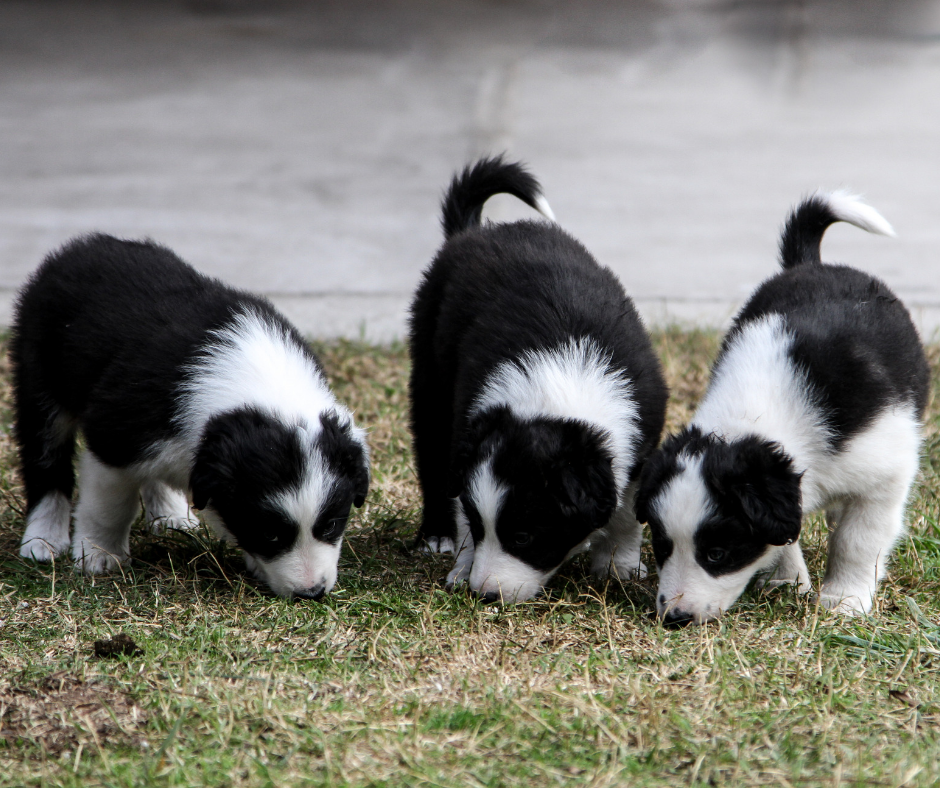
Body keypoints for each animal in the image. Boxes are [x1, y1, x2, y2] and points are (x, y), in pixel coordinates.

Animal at [13, 234, 370, 596]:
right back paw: (44, 538)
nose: (311, 593)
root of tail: (84, 244)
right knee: (45, 459)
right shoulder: (113, 435)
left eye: (331, 525)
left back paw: (170, 515)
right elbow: (109, 506)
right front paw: (99, 555)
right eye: (269, 533)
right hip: (39, 372)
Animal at [412, 159, 668, 604]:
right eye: (481, 528)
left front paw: (617, 567)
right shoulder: (466, 429)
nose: (485, 594)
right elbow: (461, 497)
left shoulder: (642, 438)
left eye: (523, 536)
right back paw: (436, 535)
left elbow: (625, 511)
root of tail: (474, 231)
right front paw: (462, 565)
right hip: (430, 376)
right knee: (432, 454)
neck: (559, 383)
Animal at [636, 191, 928, 620]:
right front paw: (787, 582)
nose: (675, 618)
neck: (750, 418)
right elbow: (785, 534)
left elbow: (858, 539)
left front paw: (845, 600)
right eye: (661, 546)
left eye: (717, 553)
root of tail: (812, 264)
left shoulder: (884, 474)